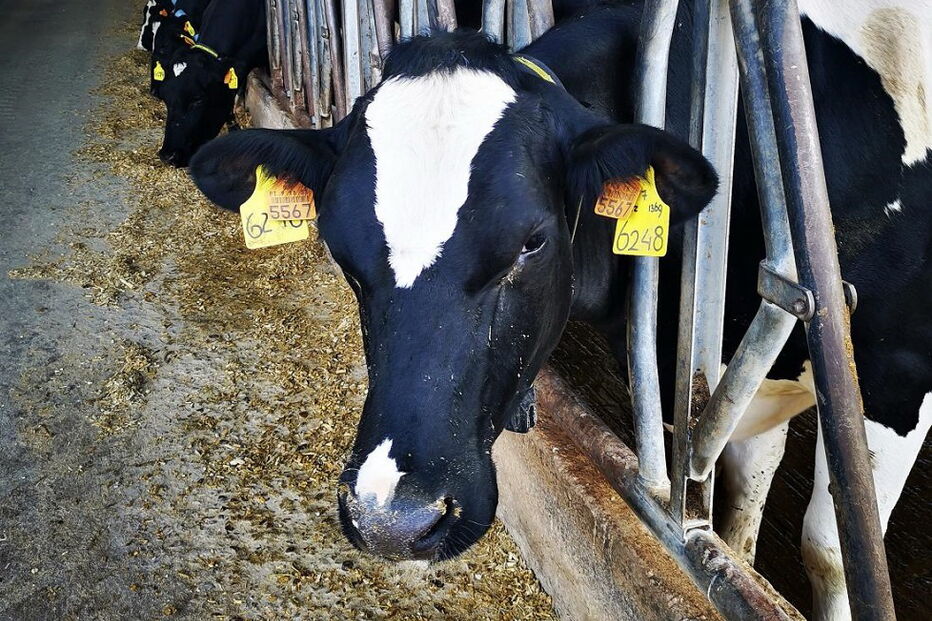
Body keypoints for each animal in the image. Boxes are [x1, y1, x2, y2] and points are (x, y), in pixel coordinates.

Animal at [188, 1, 931, 619]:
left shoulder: (895, 376)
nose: (391, 520)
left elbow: (829, 549)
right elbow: (745, 500)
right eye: (342, 252)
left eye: (531, 241)